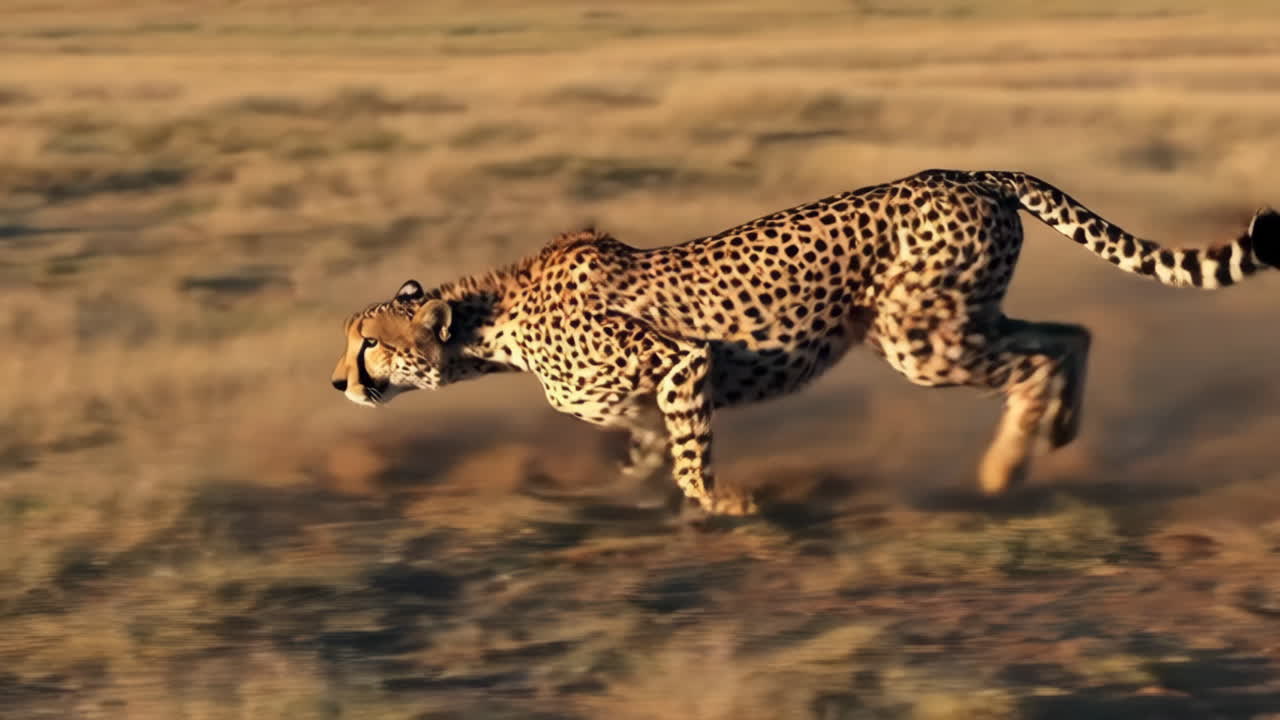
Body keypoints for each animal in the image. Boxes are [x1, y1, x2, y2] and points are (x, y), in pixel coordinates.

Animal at [332, 168, 1279, 516]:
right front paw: (626, 492)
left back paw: (1006, 466)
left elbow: (689, 455)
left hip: (923, 341)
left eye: (368, 345)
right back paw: (1056, 436)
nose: (338, 384)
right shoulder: (645, 400)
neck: (494, 322)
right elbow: (644, 451)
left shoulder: (681, 364)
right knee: (1072, 331)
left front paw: (723, 505)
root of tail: (970, 174)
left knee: (1038, 357)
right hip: (950, 320)